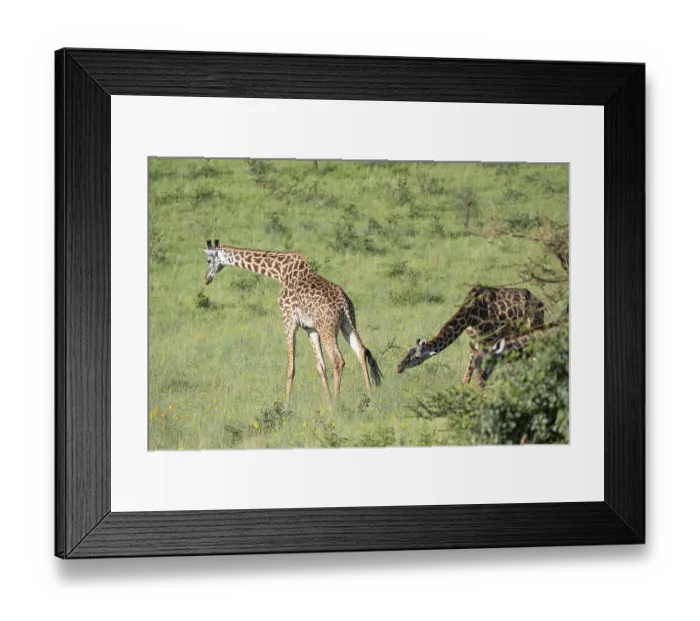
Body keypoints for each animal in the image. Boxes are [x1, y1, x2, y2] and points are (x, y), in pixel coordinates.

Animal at [202, 240, 383, 404]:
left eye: (209, 261)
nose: (206, 279)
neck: (280, 272)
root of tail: (343, 303)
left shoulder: (288, 320)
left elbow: (290, 367)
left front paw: (287, 404)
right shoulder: (310, 328)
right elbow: (320, 366)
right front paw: (327, 401)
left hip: (328, 328)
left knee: (338, 360)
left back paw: (338, 403)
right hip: (348, 322)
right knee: (361, 351)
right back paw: (369, 396)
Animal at [396, 285, 545, 385]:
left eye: (417, 357)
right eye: (407, 351)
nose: (398, 367)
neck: (470, 314)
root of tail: (540, 302)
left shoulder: (492, 338)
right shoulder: (477, 339)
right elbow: (467, 374)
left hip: (533, 326)